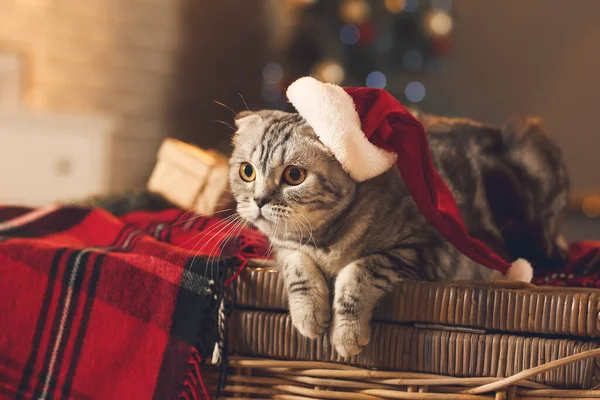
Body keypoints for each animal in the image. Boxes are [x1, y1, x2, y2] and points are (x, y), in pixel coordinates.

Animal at [227, 108, 568, 356]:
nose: (258, 200)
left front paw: (347, 334)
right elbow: (297, 267)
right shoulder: (284, 246)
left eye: (294, 175)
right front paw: (308, 315)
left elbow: (358, 272)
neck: (323, 240)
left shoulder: (427, 247)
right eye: (247, 171)